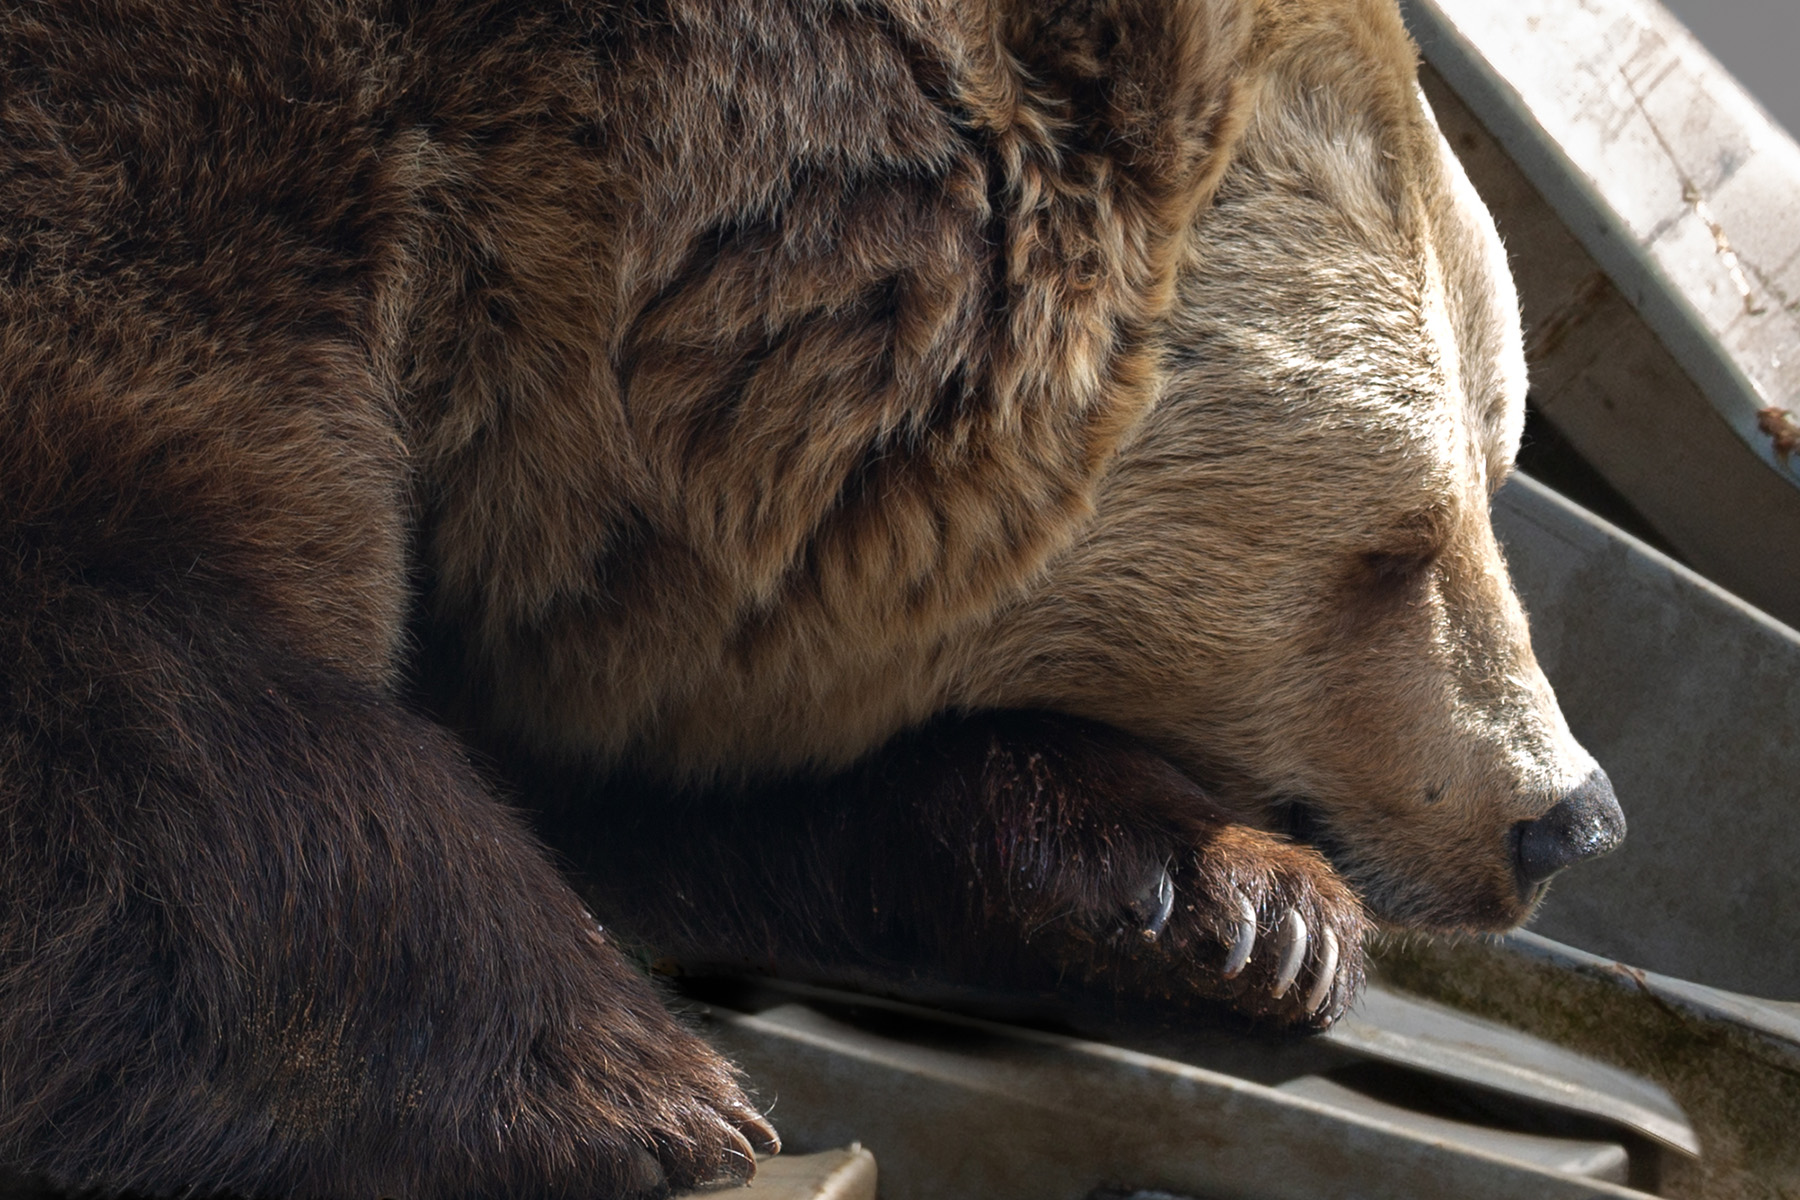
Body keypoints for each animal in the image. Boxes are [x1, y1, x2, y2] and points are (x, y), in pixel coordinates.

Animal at [0, 0, 1627, 1194]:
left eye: (1500, 464)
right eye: (1398, 542)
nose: (1570, 816)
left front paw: (1236, 904)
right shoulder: (190, 172)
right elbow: (120, 649)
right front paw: (631, 1087)